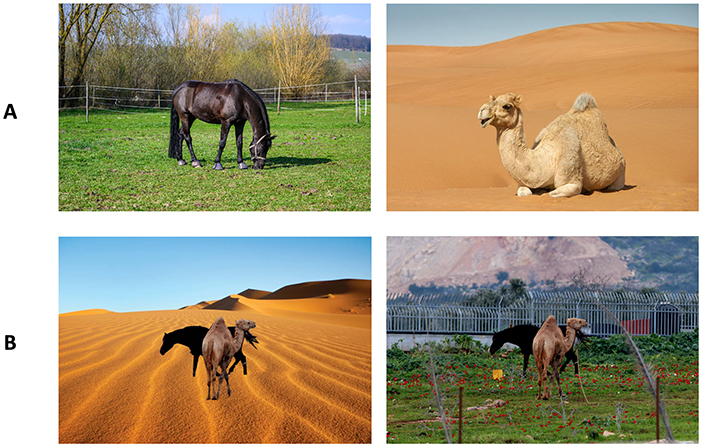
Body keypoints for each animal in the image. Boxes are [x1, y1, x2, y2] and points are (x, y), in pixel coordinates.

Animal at [478, 93, 626, 197]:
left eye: (507, 106)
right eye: (493, 99)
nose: (481, 110)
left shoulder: (572, 181)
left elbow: (553, 193)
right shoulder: (526, 181)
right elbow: (522, 191)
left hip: (621, 173)